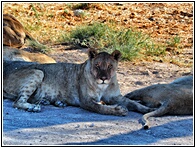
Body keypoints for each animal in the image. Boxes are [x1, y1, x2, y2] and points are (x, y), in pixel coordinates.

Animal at [2, 49, 153, 116]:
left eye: (110, 66)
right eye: (97, 65)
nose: (103, 78)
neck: (103, 87)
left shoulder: (116, 97)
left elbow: (133, 103)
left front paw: (149, 109)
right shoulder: (86, 101)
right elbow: (100, 108)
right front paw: (118, 110)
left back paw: (55, 102)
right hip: (38, 72)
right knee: (18, 101)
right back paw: (34, 107)